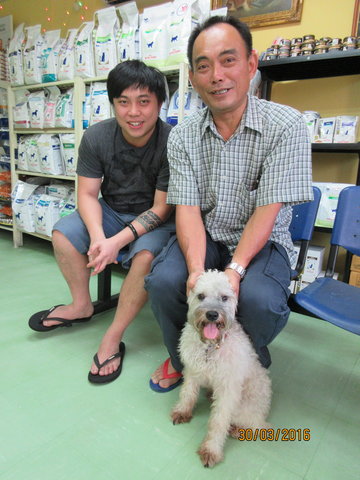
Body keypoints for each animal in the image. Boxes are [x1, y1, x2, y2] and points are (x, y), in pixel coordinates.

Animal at [170, 272, 272, 466]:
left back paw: (237, 429)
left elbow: (218, 421)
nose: (212, 314)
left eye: (224, 297)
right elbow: (187, 394)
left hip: (243, 410)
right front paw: (183, 411)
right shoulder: (192, 370)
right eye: (201, 296)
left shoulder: (228, 390)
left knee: (250, 424)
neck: (210, 346)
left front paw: (211, 449)